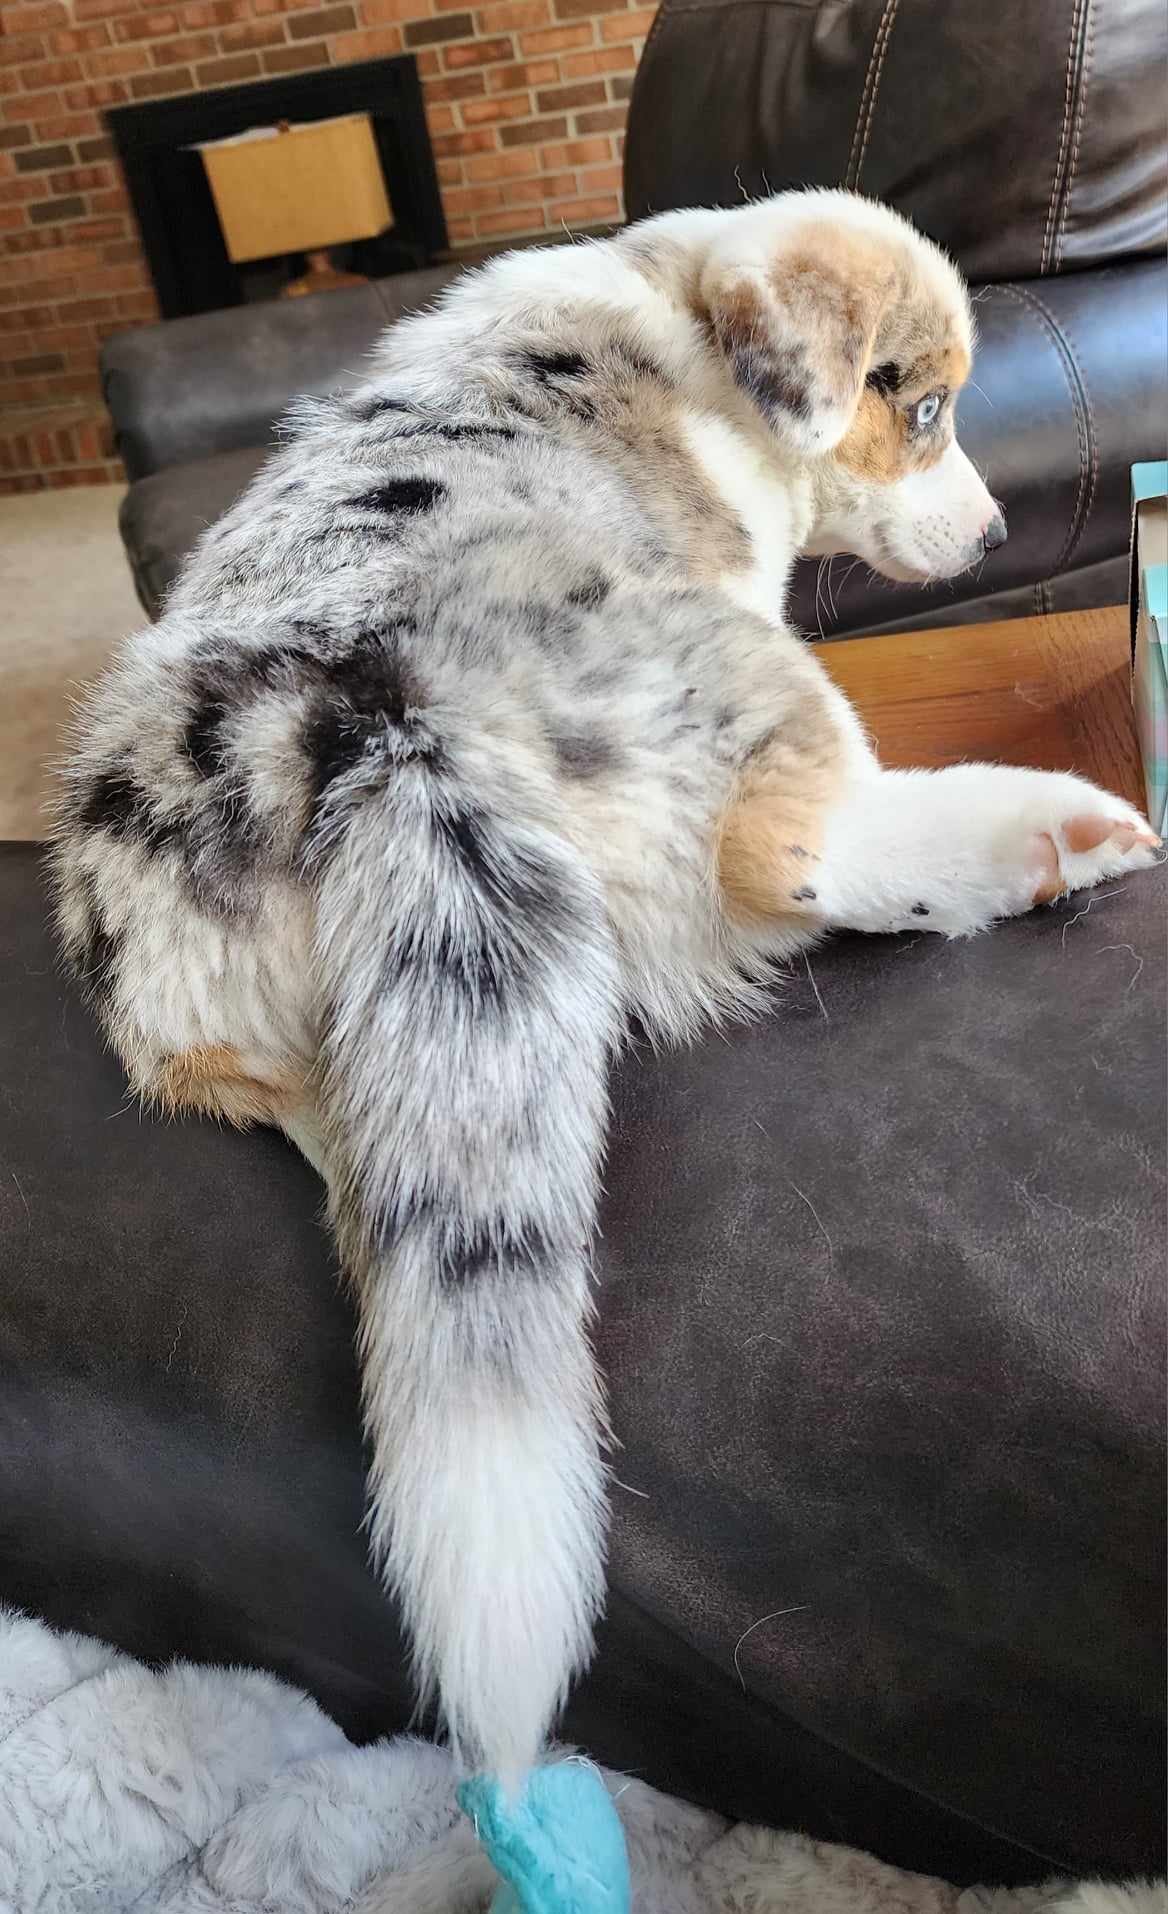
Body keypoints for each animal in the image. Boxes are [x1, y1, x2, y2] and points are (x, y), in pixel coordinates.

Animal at [50, 189, 1161, 1786]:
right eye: (924, 404)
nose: (1006, 527)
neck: (681, 308)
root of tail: (376, 721)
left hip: (211, 1023)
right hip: (744, 690)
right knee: (800, 855)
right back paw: (1043, 834)